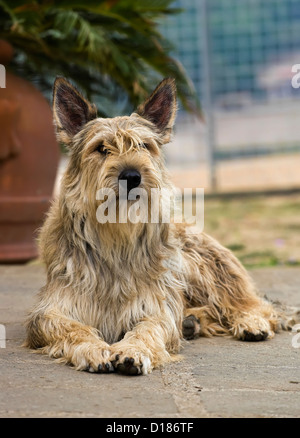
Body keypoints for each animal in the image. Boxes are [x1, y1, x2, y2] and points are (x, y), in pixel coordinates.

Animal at [25, 77, 296, 374]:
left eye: (144, 146)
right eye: (101, 148)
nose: (131, 176)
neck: (115, 239)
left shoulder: (155, 307)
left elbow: (148, 329)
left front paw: (132, 351)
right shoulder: (52, 309)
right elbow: (72, 328)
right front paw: (94, 349)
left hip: (201, 268)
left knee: (255, 305)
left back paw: (250, 322)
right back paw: (192, 322)